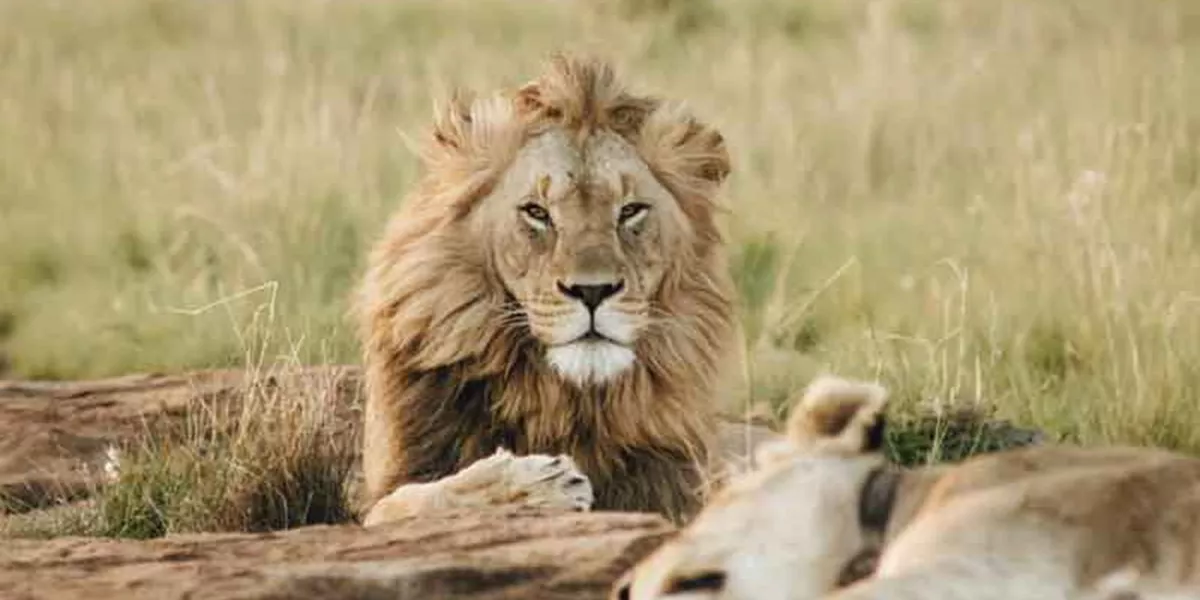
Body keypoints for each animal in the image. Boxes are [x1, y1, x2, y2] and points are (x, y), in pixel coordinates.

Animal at [353, 54, 773, 528]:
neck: (563, 401)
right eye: (537, 212)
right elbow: (405, 501)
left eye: (630, 211)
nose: (593, 291)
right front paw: (537, 483)